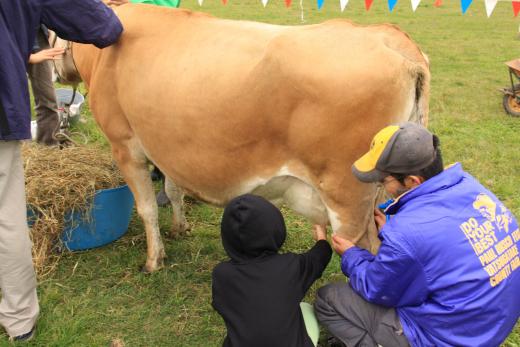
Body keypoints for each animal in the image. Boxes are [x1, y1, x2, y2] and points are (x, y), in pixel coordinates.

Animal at [52, 4, 428, 274]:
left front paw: (153, 260)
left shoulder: (124, 144)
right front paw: (179, 228)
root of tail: (389, 37)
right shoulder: (166, 145)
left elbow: (146, 208)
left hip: (346, 195)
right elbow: (173, 191)